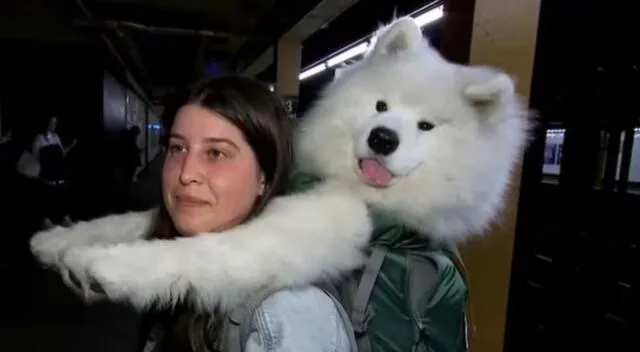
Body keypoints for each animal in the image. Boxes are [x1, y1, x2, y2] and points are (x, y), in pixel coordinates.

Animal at [28, 17, 528, 312]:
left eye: (426, 126)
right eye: (381, 105)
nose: (382, 138)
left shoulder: (307, 231)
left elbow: (201, 251)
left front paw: (99, 264)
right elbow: (126, 221)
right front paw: (58, 241)